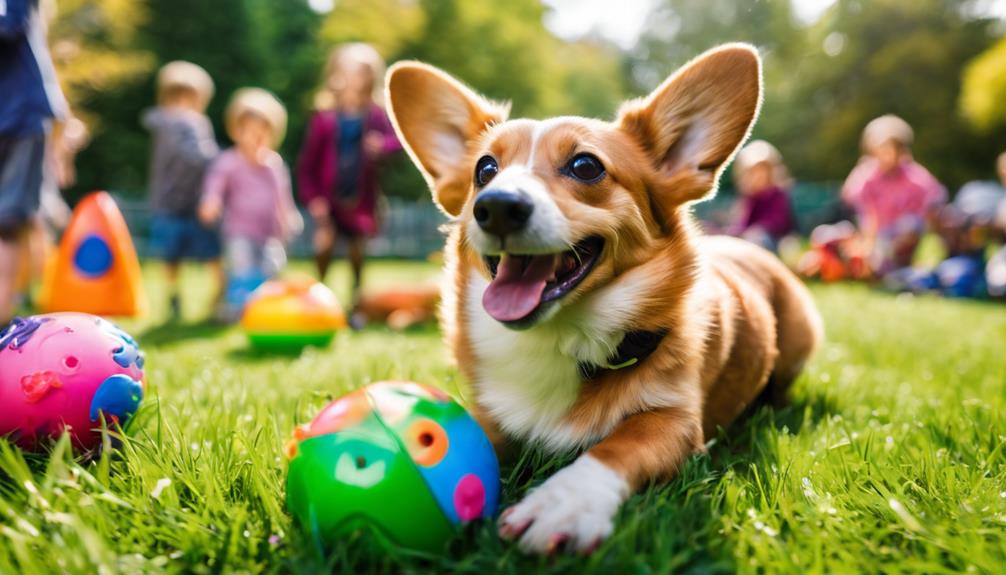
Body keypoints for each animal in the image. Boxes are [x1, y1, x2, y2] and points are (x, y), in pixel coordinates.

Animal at [388, 42, 820, 554]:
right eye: (485, 170)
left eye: (586, 166)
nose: (496, 206)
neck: (558, 339)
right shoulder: (491, 413)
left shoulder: (675, 421)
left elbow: (617, 446)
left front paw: (563, 503)